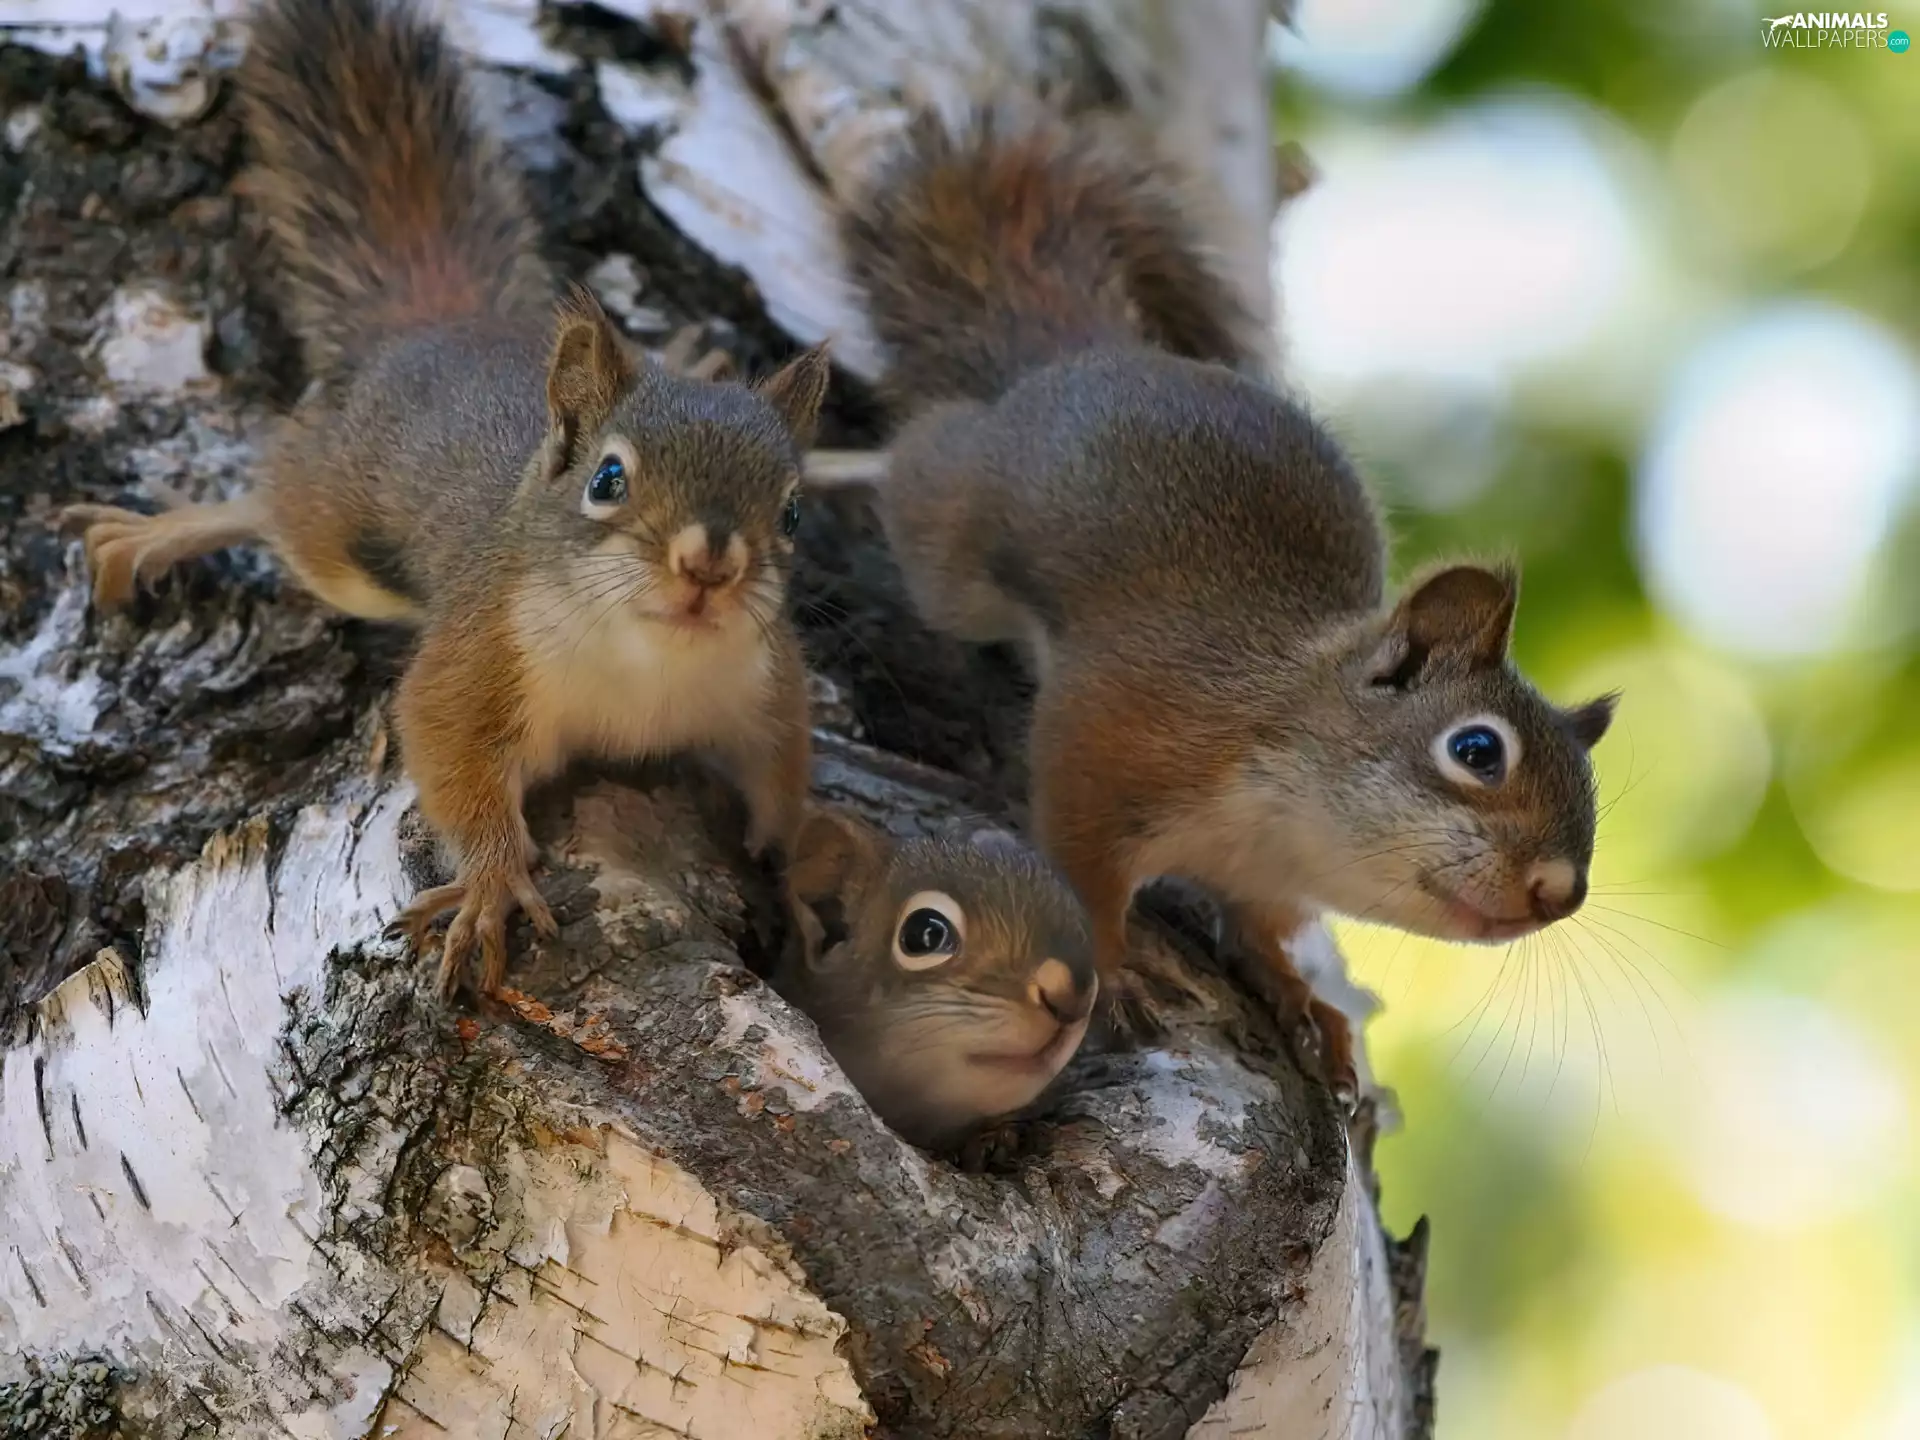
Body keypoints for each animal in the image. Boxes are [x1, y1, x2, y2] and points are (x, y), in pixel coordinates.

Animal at [58, 0, 831, 995]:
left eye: (793, 512)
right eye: (607, 479)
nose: (710, 564)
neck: (650, 661)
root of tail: (436, 328)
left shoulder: (765, 687)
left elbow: (782, 783)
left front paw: (797, 884)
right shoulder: (479, 653)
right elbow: (448, 752)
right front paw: (493, 883)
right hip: (340, 525)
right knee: (272, 504)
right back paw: (162, 532)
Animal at [807, 109, 1618, 1098]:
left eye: (1592, 793)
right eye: (1476, 751)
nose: (1559, 892)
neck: (1296, 810)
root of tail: (1092, 357)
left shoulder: (1270, 879)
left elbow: (1262, 930)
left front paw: (1299, 999)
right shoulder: (1113, 732)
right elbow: (1082, 861)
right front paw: (1115, 969)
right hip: (957, 542)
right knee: (922, 457)